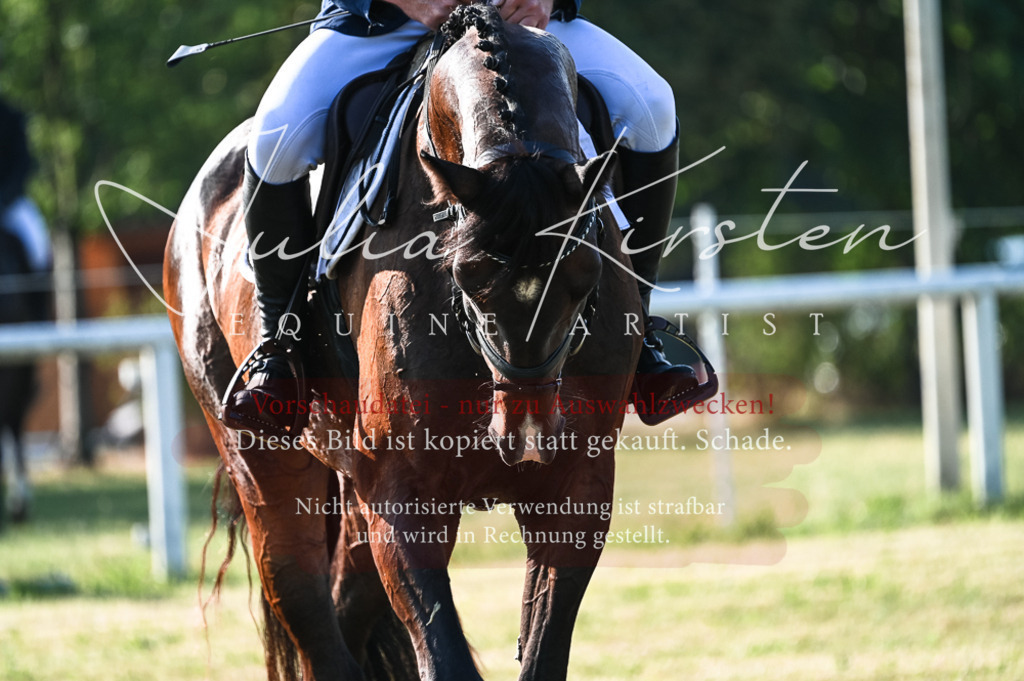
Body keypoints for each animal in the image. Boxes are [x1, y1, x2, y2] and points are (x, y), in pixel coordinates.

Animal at [165, 5, 642, 679]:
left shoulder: (577, 486)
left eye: (586, 276)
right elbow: (443, 657)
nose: (524, 435)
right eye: (465, 276)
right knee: (302, 597)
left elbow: (543, 651)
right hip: (261, 459)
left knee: (346, 604)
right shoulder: (404, 495)